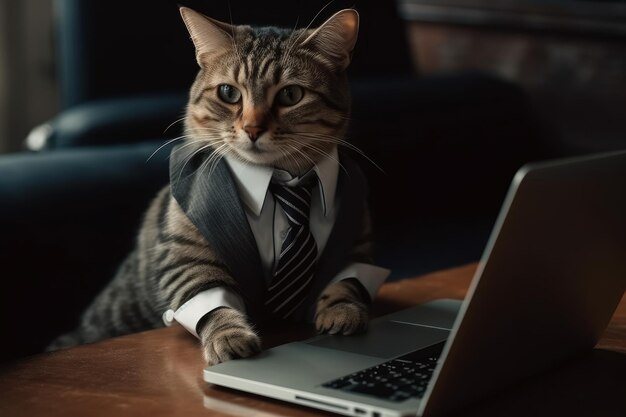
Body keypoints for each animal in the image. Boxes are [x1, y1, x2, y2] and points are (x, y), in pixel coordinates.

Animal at [47, 5, 386, 364]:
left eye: (291, 95)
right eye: (228, 93)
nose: (252, 129)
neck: (283, 180)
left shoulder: (357, 243)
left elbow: (347, 282)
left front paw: (342, 310)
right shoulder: (186, 254)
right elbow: (211, 301)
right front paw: (229, 336)